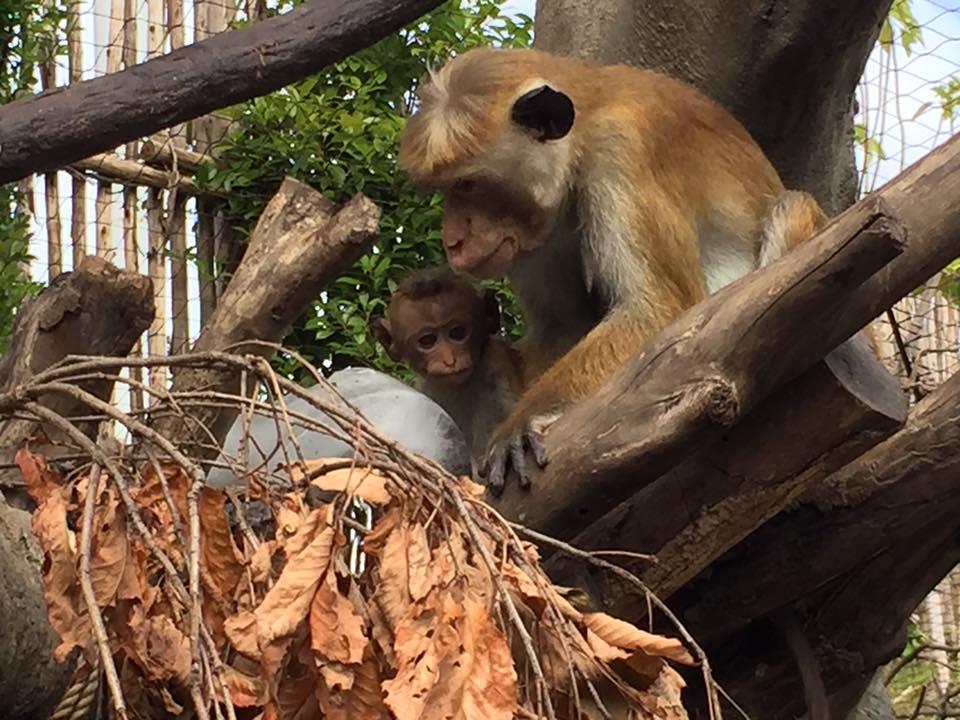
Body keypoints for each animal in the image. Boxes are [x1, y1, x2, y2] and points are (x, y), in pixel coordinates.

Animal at [398, 47, 832, 492]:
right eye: (445, 189)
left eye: (466, 185)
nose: (453, 240)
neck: (582, 136)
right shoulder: (539, 231)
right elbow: (561, 325)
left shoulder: (624, 150)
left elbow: (659, 312)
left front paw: (523, 421)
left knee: (791, 207)